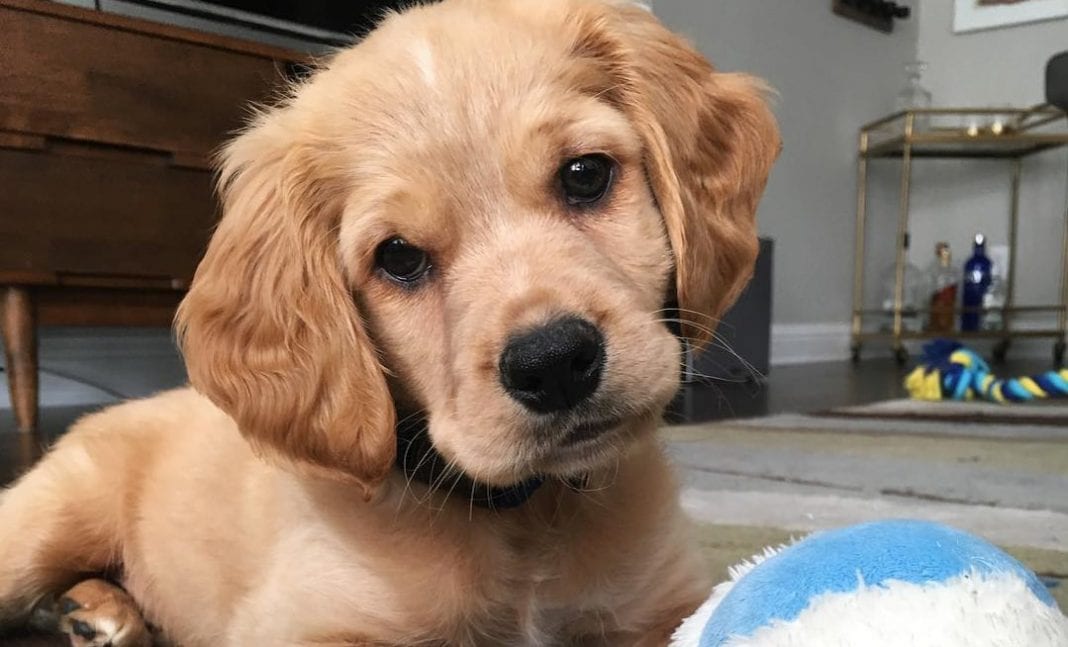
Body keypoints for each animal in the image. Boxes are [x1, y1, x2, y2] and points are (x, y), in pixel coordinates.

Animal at [0, 0, 777, 644]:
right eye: (398, 257)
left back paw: (93, 607)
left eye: (586, 174)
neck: (524, 515)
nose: (554, 362)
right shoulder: (302, 622)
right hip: (46, 521)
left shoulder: (663, 603)